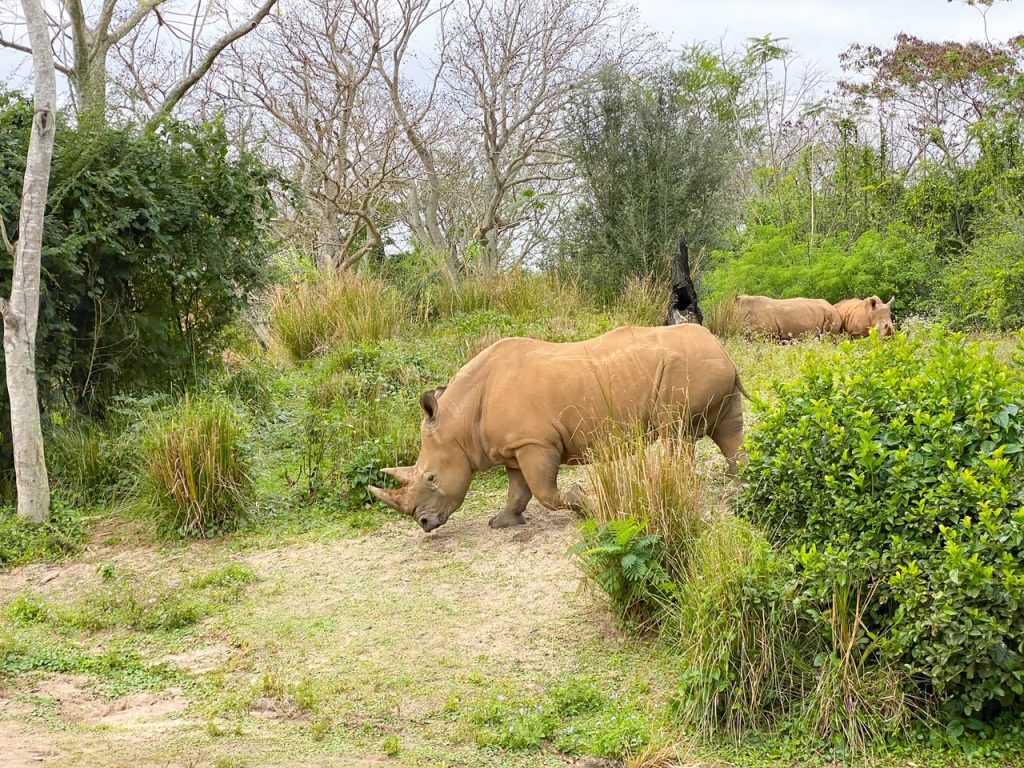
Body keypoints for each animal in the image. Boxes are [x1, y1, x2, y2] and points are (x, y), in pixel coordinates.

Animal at [369, 324, 748, 533]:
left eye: (431, 477)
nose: (424, 524)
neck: (459, 420)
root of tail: (722, 348)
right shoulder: (513, 447)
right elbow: (518, 490)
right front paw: (502, 523)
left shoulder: (535, 443)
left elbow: (545, 493)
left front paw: (588, 506)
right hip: (707, 366)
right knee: (728, 431)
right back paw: (740, 483)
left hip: (684, 373)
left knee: (676, 432)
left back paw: (675, 486)